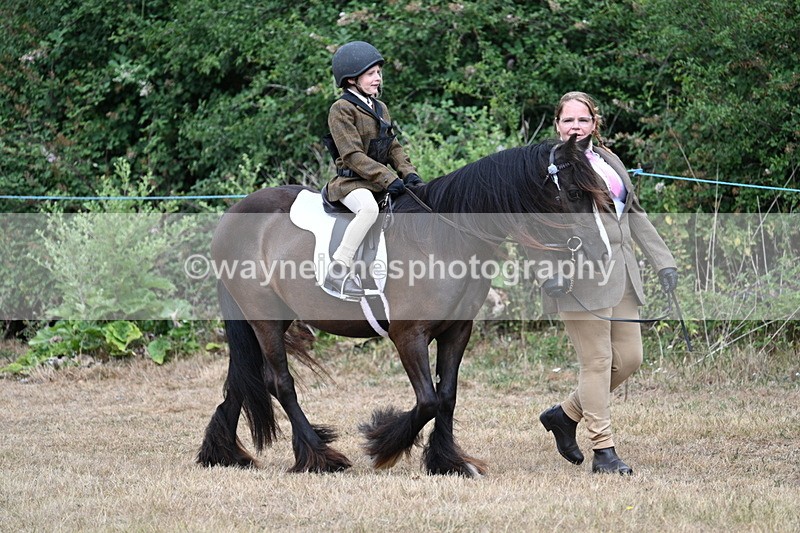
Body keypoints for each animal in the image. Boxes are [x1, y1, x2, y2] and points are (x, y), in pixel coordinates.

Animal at [196, 134, 609, 476]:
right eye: (575, 193)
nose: (603, 252)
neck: (443, 239)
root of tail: (232, 216)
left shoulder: (456, 332)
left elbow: (446, 397)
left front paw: (448, 462)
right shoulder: (408, 336)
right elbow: (427, 400)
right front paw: (383, 443)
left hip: (270, 319)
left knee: (245, 378)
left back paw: (223, 453)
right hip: (263, 318)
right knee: (279, 382)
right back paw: (320, 456)